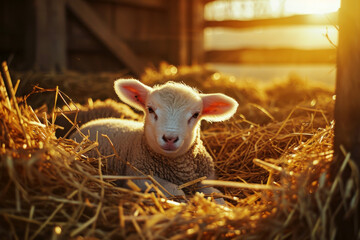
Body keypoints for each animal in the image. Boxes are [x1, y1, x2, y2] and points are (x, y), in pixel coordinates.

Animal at [70, 79, 239, 200]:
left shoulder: (206, 179)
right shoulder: (138, 176)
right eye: (150, 109)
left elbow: (216, 194)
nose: (170, 138)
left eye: (196, 114)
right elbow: (174, 191)